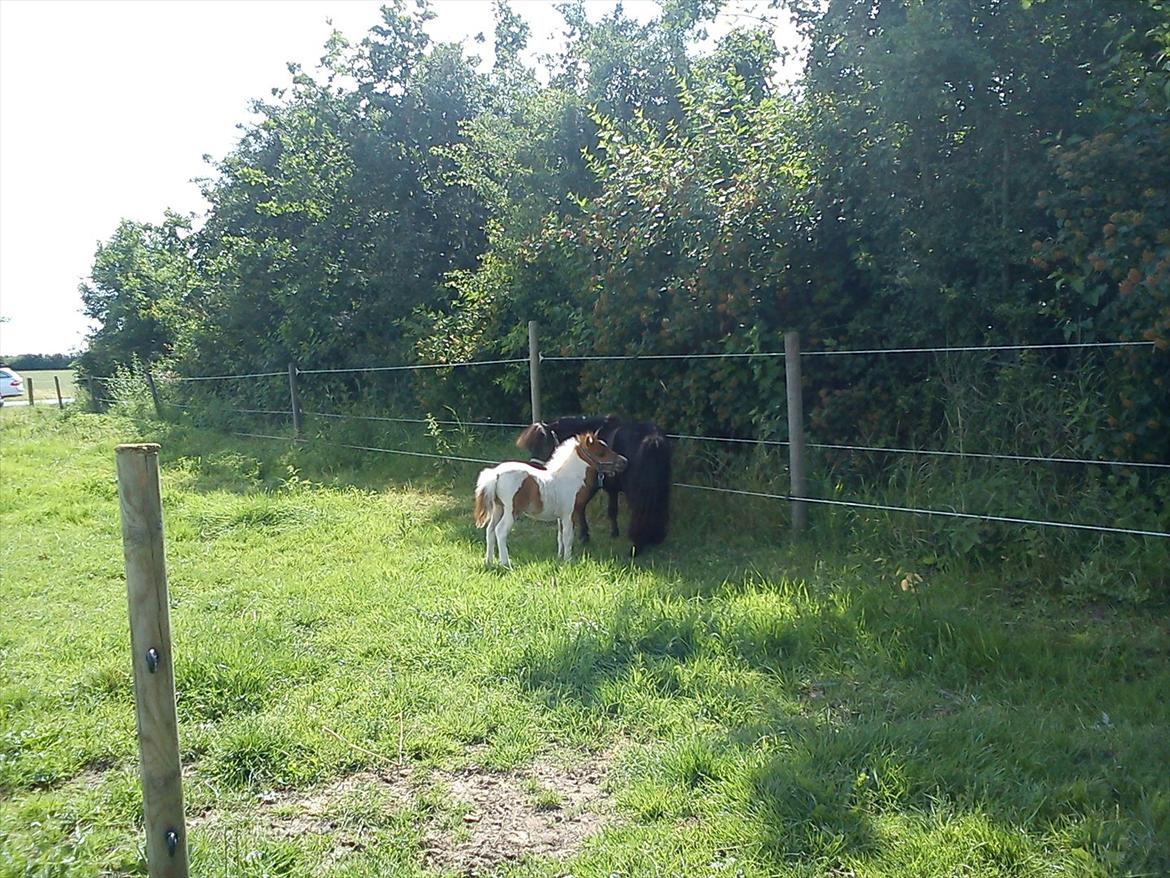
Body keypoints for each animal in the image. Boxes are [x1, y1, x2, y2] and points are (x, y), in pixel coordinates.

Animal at [472, 435, 627, 571]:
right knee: (500, 531)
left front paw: (559, 558)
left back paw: (489, 562)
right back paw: (506, 564)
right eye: (601, 452)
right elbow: (568, 537)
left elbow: (560, 537)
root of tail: (496, 474)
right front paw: (568, 560)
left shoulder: (560, 517)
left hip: (498, 508)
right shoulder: (569, 514)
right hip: (511, 511)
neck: (570, 477)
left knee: (490, 530)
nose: (624, 461)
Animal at [517, 416, 673, 552]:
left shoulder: (589, 486)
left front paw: (584, 536)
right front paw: (614, 533)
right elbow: (612, 510)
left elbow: (581, 508)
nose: (536, 468)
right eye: (531, 447)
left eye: (545, 445)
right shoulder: (612, 489)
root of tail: (653, 439)